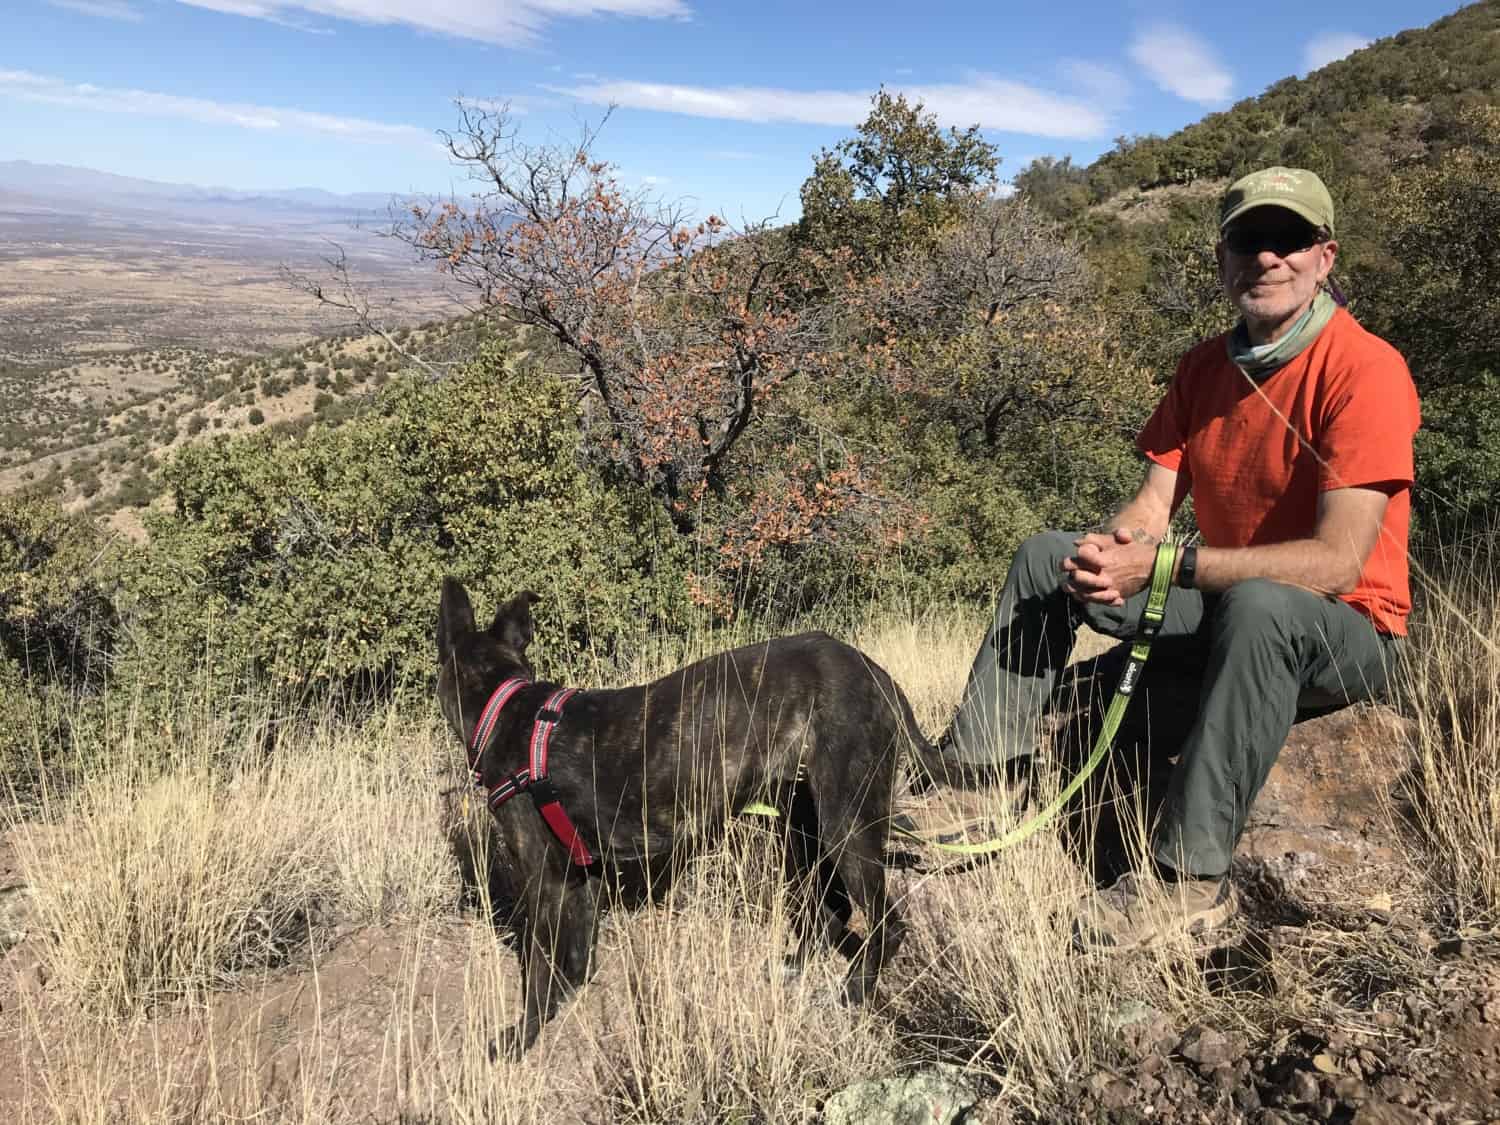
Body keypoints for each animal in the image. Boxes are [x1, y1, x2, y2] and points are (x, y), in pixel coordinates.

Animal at [438, 576, 948, 1062]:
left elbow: (540, 966)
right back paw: (797, 966)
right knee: (829, 911)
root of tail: (878, 674)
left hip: (847, 823)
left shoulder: (543, 877)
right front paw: (573, 996)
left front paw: (524, 1035)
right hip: (804, 830)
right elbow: (579, 954)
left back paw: (854, 992)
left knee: (887, 924)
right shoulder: (585, 872)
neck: (506, 708)